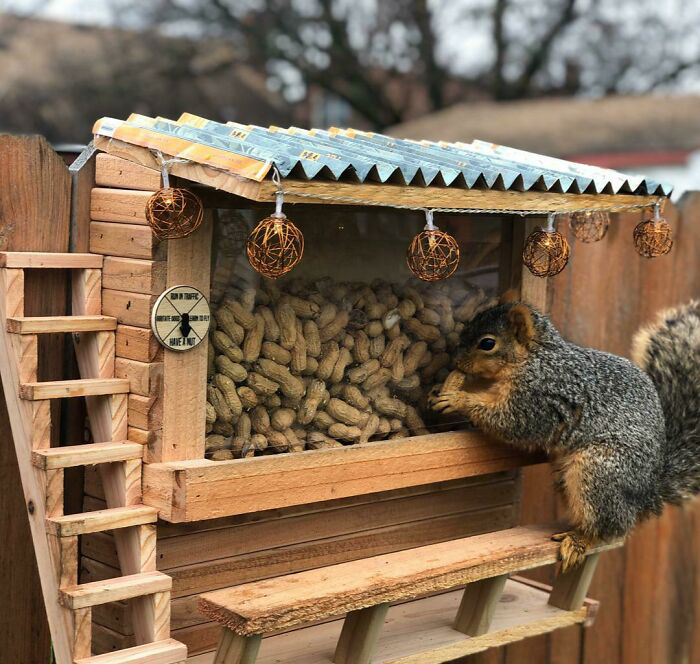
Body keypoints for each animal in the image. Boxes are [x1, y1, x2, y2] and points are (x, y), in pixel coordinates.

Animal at [430, 290, 700, 572]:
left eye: (487, 343)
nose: (456, 361)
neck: (535, 359)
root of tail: (648, 494)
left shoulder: (537, 399)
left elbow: (511, 422)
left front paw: (458, 399)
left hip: (599, 471)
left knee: (611, 527)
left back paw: (580, 541)